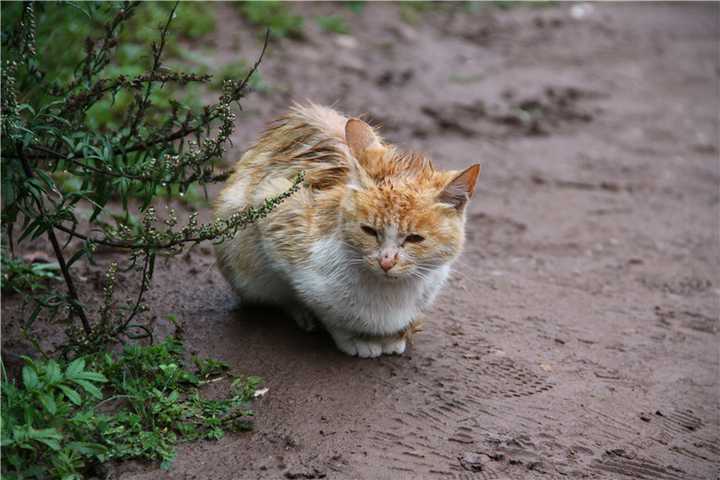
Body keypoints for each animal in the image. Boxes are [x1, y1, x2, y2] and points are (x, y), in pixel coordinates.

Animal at [215, 103, 484, 356]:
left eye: (414, 238)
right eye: (369, 231)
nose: (386, 262)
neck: (389, 294)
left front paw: (397, 336)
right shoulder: (275, 210)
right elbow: (314, 302)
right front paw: (352, 337)